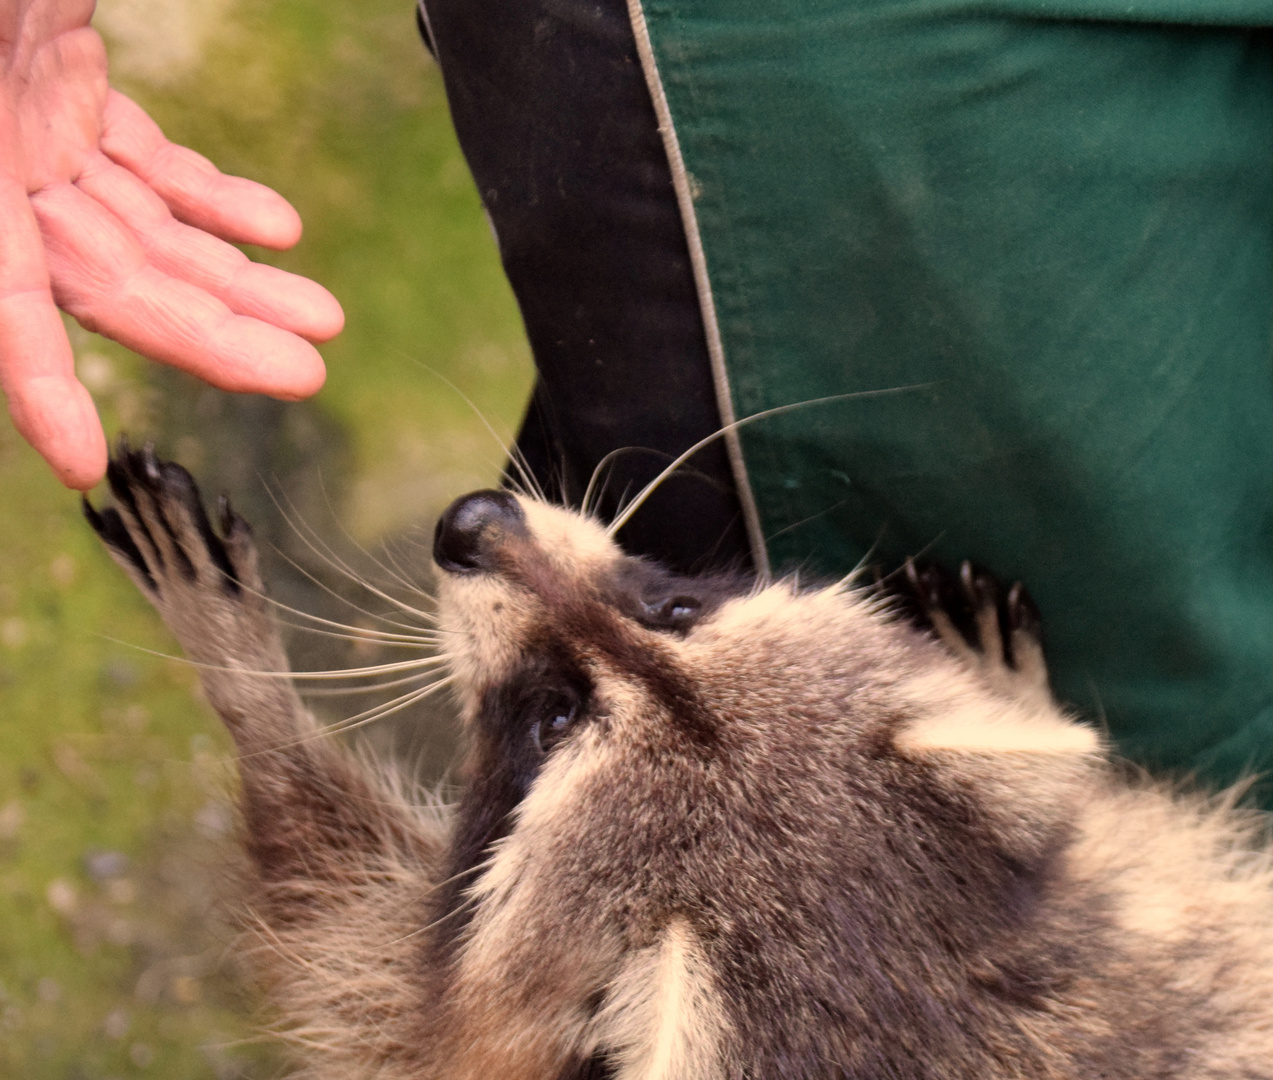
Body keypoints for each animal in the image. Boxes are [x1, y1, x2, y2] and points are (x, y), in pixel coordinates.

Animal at [89, 443, 1273, 1074]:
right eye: (675, 610)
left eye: (552, 721)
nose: (470, 521)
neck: (932, 1004)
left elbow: (335, 929)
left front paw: (246, 684)